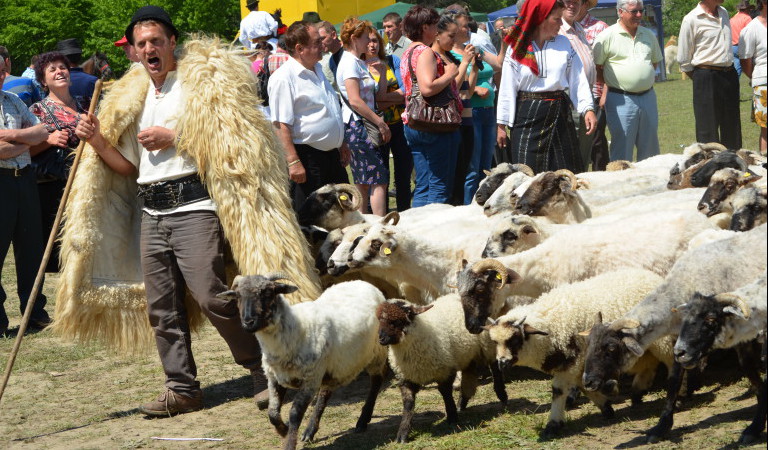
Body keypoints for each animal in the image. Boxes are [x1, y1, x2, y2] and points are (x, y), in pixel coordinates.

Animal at [376, 296, 508, 442]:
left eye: (398, 321)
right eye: (380, 320)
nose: (381, 339)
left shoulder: (445, 371)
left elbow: (446, 394)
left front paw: (452, 417)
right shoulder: (406, 377)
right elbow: (408, 405)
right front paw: (402, 434)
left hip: (487, 347)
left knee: (495, 368)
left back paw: (502, 396)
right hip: (467, 355)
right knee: (468, 377)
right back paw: (462, 404)